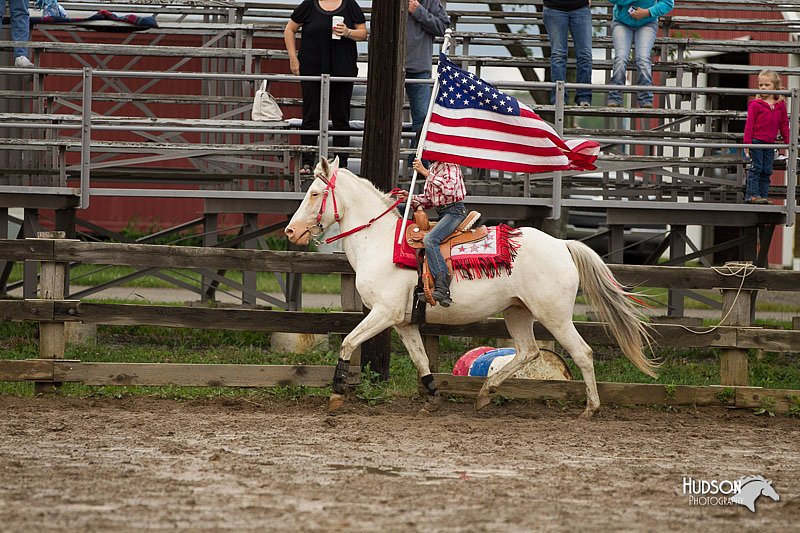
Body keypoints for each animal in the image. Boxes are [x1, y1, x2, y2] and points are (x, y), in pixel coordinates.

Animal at [284, 158, 660, 416]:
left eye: (315, 193)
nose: (290, 231)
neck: (379, 241)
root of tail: (562, 245)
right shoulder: (403, 322)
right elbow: (421, 360)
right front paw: (432, 399)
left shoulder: (383, 313)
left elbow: (348, 341)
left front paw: (336, 394)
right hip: (517, 312)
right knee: (528, 352)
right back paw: (484, 394)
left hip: (554, 315)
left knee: (582, 353)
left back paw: (590, 409)